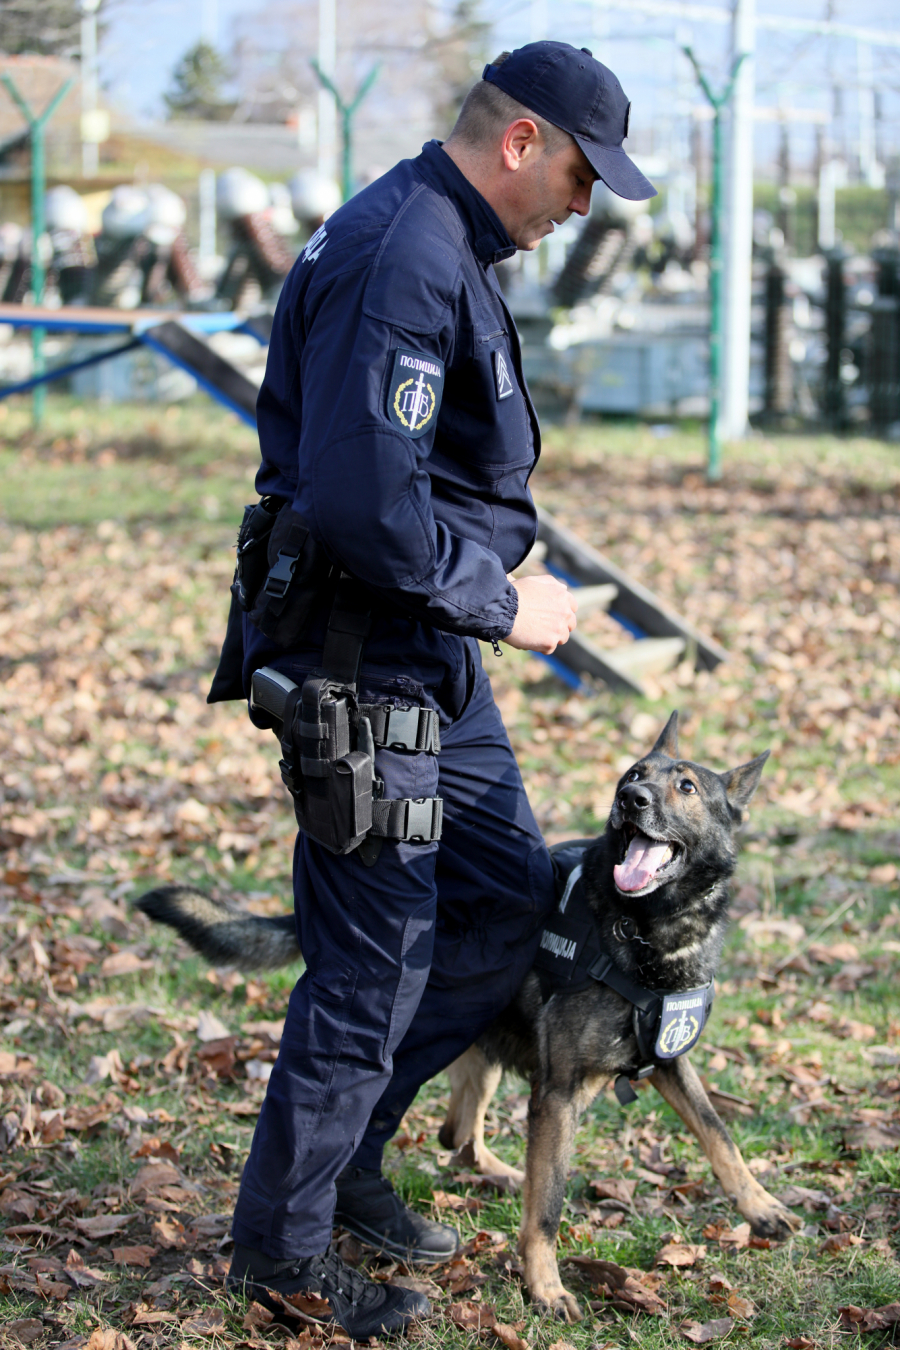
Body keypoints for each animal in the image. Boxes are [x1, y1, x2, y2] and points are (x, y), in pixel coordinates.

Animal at [137, 718, 798, 1317]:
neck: (644, 932)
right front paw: (545, 1287)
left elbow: (719, 1135)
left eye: (685, 786)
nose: (629, 800)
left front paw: (760, 1207)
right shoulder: (558, 1094)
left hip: (483, 1052)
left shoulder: (667, 1061)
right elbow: (549, 1208)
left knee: (456, 1134)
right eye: (634, 775)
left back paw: (499, 1172)